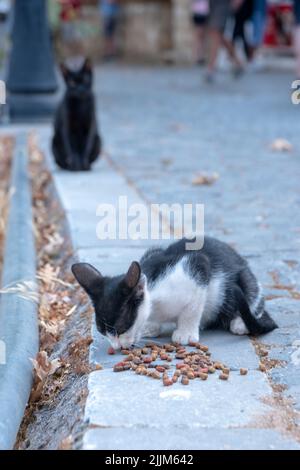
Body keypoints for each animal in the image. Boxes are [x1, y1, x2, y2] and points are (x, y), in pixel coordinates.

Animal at [71, 235, 278, 348]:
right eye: (102, 332)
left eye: (120, 329)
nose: (117, 347)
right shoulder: (153, 251)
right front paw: (150, 326)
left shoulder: (197, 266)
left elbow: (192, 309)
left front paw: (185, 333)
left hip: (245, 281)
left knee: (254, 298)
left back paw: (239, 322)